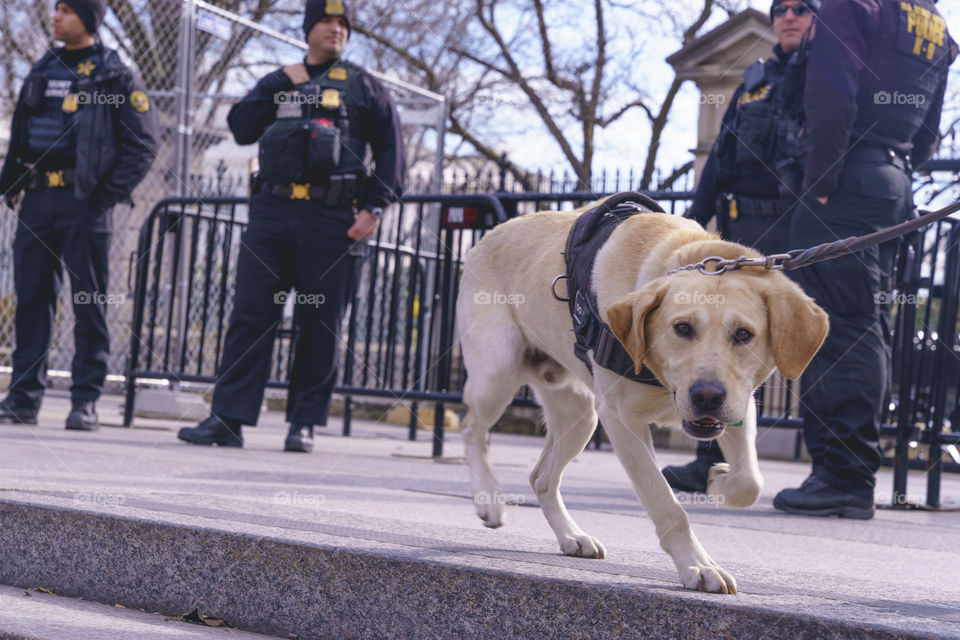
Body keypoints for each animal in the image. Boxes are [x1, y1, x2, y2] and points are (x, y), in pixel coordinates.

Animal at [454, 195, 828, 596]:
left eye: (744, 334)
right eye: (682, 328)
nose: (706, 396)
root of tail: (490, 234)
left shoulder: (739, 403)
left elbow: (751, 482)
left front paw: (719, 481)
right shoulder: (622, 421)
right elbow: (666, 503)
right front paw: (698, 566)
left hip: (580, 414)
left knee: (541, 477)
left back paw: (572, 535)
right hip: (498, 373)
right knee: (471, 429)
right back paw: (489, 500)